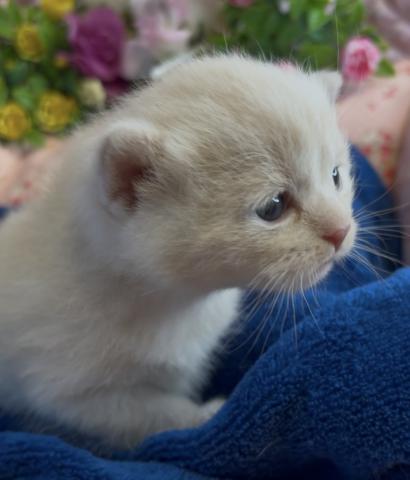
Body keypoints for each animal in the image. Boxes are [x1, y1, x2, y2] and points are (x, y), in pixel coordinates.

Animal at [0, 55, 356, 448]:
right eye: (273, 207)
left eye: (336, 176)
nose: (341, 230)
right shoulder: (70, 393)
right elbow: (152, 414)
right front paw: (207, 416)